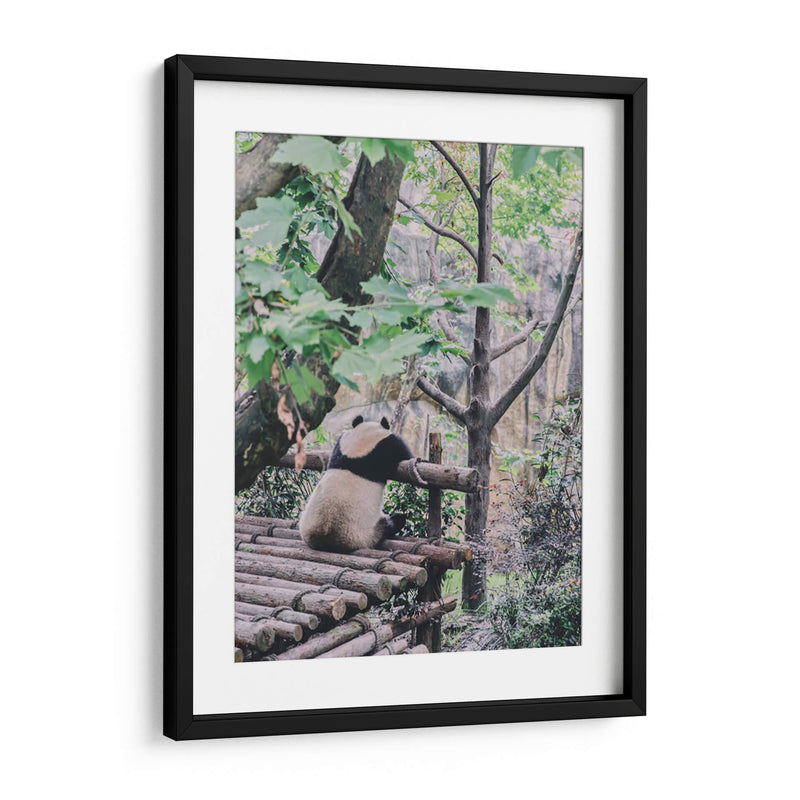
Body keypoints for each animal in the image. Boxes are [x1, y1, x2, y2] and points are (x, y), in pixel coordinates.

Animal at [299, 415, 413, 553]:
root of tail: (325, 540)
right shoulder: (387, 446)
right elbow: (404, 453)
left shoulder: (340, 446)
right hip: (363, 534)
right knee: (387, 526)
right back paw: (398, 520)